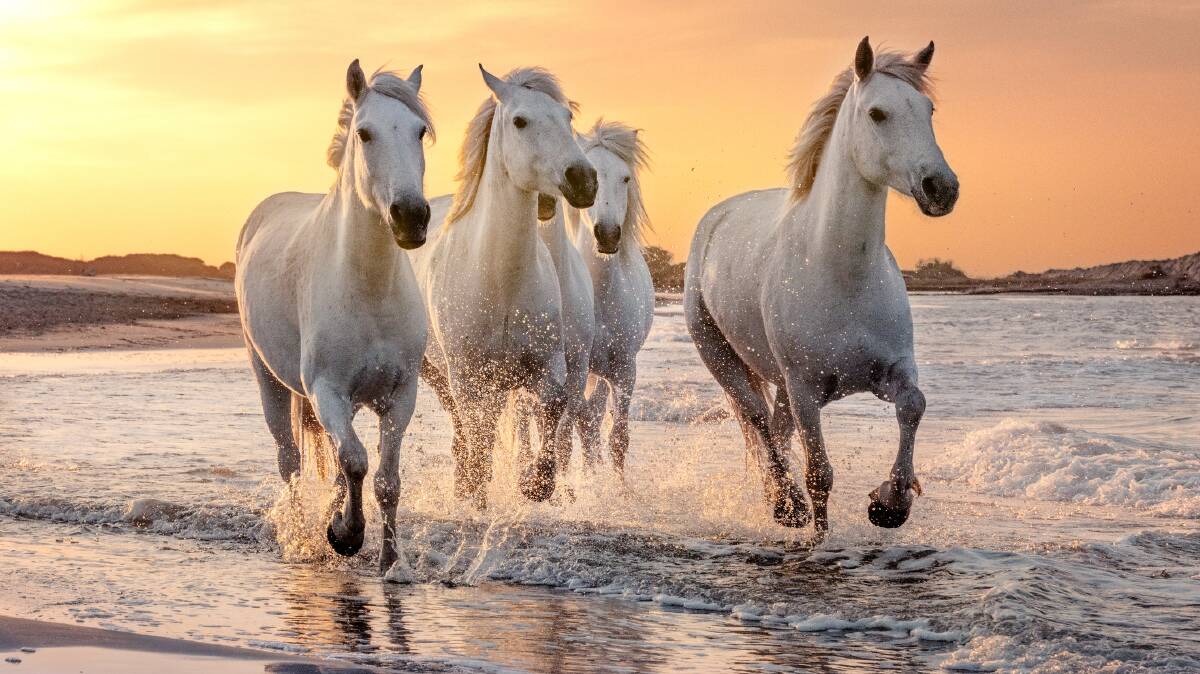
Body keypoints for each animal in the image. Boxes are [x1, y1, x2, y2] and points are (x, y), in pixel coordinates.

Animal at [235, 60, 433, 572]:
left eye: (420, 132)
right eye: (365, 133)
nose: (411, 217)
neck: (368, 289)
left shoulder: (400, 395)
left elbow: (384, 479)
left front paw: (390, 561)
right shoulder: (326, 390)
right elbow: (357, 462)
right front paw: (345, 535)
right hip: (269, 380)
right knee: (290, 461)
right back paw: (302, 536)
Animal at [408, 66, 597, 508]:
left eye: (567, 118)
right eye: (520, 121)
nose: (583, 180)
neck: (502, 283)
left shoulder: (548, 366)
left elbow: (553, 411)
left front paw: (535, 484)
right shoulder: (468, 377)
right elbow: (479, 436)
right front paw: (478, 492)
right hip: (437, 373)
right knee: (466, 430)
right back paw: (465, 487)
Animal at [565, 120, 655, 472]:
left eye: (625, 178)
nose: (607, 235)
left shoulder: (624, 370)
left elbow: (618, 439)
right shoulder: (574, 369)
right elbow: (580, 427)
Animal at [683, 37, 959, 535]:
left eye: (928, 109)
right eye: (877, 113)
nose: (941, 188)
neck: (841, 275)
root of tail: (716, 218)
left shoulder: (890, 370)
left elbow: (914, 405)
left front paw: (890, 503)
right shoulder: (806, 389)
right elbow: (820, 475)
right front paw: (820, 532)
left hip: (781, 385)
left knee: (775, 429)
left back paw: (778, 500)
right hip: (722, 357)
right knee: (757, 419)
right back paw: (785, 504)